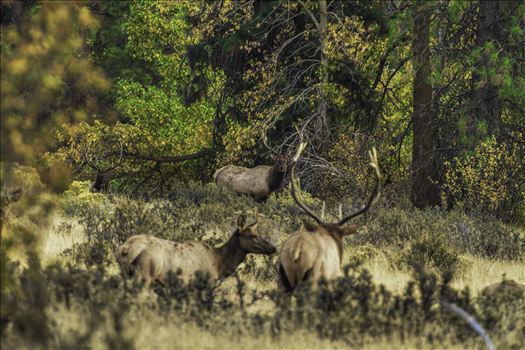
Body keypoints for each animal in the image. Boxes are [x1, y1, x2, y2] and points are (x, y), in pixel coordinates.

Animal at [116, 215, 276, 286]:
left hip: (126, 274)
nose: (273, 247)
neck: (219, 265)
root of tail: (124, 249)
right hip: (144, 275)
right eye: (253, 235)